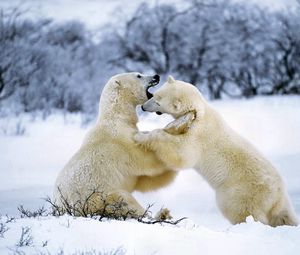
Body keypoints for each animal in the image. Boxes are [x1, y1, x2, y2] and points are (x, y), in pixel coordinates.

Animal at [53, 72, 178, 217]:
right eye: (139, 75)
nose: (156, 76)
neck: (117, 118)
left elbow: (144, 181)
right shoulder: (122, 144)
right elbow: (147, 162)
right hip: (96, 198)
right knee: (123, 200)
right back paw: (160, 214)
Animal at [135, 75, 298, 227]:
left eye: (158, 101)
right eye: (155, 94)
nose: (143, 107)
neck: (200, 112)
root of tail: (277, 195)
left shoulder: (199, 135)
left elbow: (182, 153)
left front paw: (142, 136)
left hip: (241, 191)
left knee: (241, 210)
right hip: (277, 201)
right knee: (284, 215)